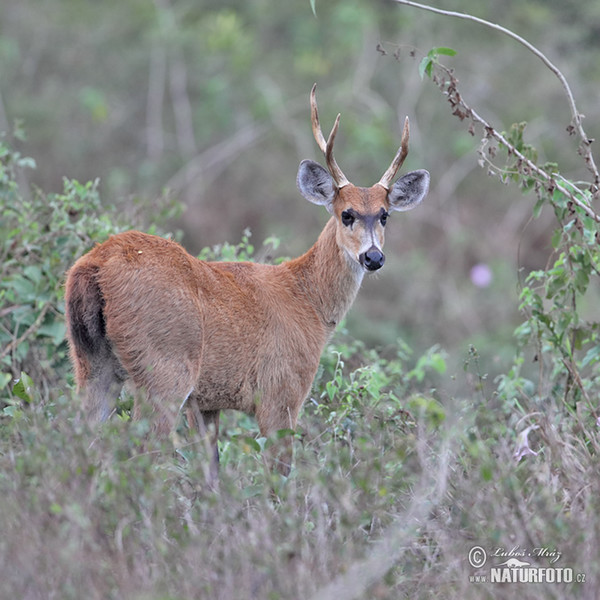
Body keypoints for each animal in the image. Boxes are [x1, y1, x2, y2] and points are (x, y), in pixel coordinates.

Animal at [65, 85, 428, 478]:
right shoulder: (281, 392)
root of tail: (95, 266)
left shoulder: (206, 402)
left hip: (90, 361)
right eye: (346, 214)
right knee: (138, 449)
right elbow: (280, 476)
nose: (373, 257)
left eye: (385, 215)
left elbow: (212, 472)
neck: (308, 301)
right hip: (164, 367)